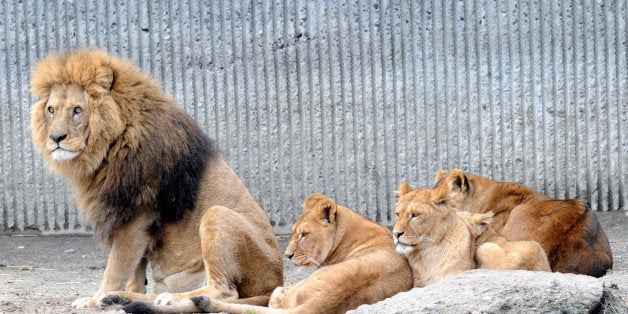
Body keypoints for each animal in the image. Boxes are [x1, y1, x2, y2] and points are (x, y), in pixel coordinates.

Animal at [28, 50, 282, 308]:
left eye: (77, 110)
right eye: (51, 110)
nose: (55, 138)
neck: (109, 149)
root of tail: (274, 282)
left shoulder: (135, 217)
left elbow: (115, 268)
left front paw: (95, 299)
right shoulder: (127, 218)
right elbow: (135, 272)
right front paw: (118, 294)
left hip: (216, 214)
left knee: (224, 292)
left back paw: (168, 298)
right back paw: (125, 298)